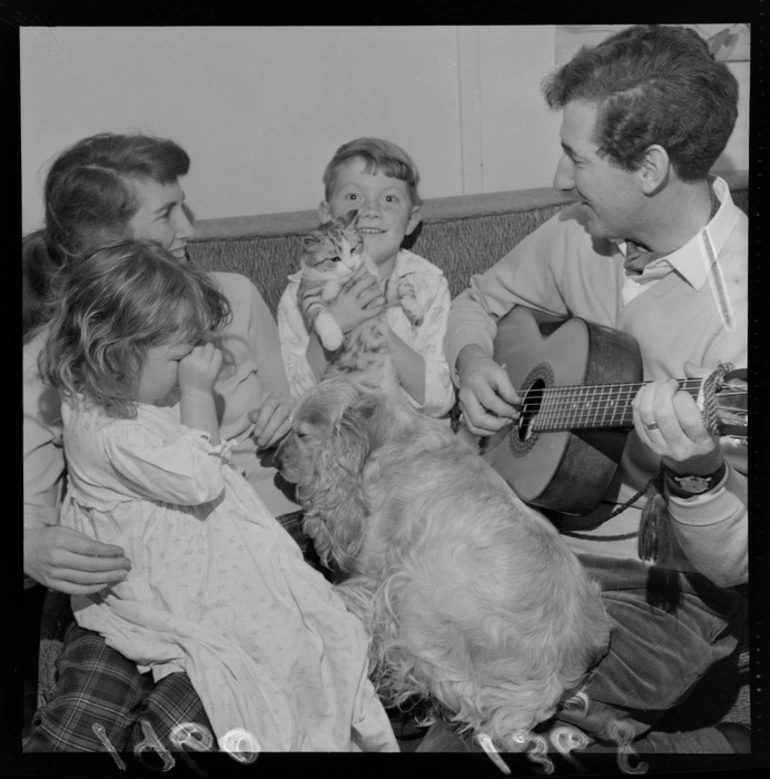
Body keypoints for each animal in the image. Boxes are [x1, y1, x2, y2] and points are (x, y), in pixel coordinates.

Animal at [298, 210, 420, 394]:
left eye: (353, 249)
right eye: (335, 259)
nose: (351, 266)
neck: (346, 279)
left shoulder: (376, 287)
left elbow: (401, 284)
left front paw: (414, 309)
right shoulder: (307, 293)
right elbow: (318, 311)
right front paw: (332, 337)